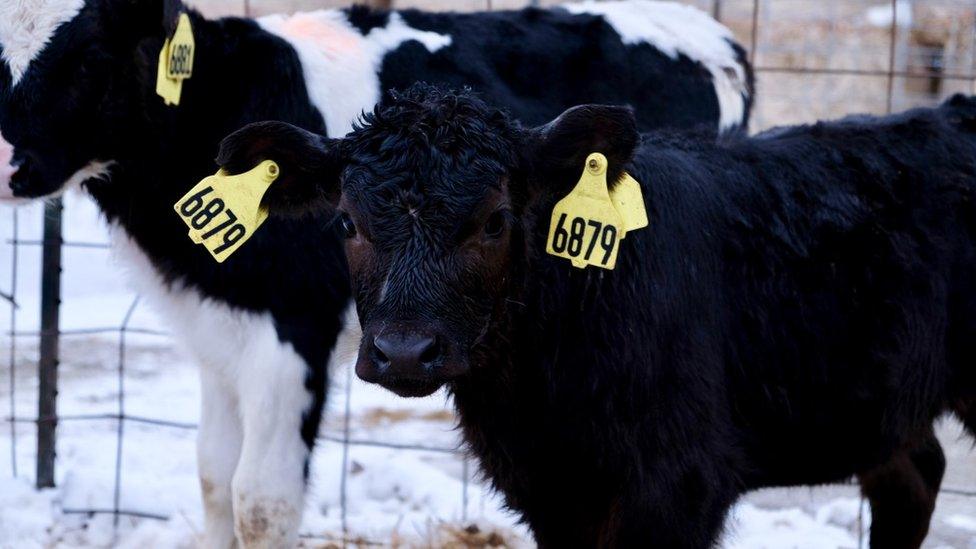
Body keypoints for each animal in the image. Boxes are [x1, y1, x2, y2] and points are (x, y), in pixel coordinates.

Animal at [0, 0, 752, 544]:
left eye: (89, 56)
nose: (5, 163)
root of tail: (716, 38)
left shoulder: (293, 328)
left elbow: (259, 501)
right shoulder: (218, 328)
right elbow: (213, 480)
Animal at [219, 88, 976, 544]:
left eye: (496, 220)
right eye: (347, 220)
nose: (405, 350)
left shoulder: (679, 484)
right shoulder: (550, 491)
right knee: (913, 474)